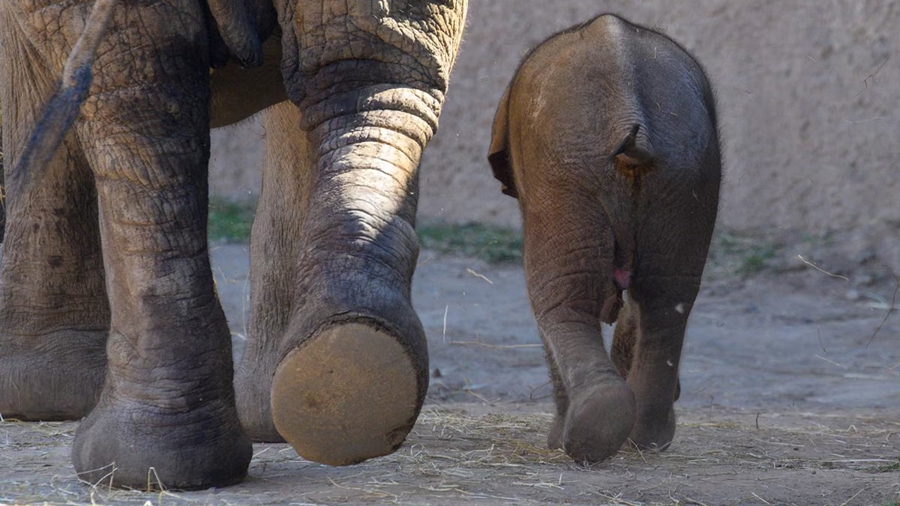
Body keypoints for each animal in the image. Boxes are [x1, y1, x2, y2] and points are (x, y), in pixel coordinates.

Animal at [488, 14, 721, 463]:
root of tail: (627, 113)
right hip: (686, 175)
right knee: (667, 297)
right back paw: (644, 438)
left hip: (569, 178)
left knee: (562, 297)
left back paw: (587, 433)